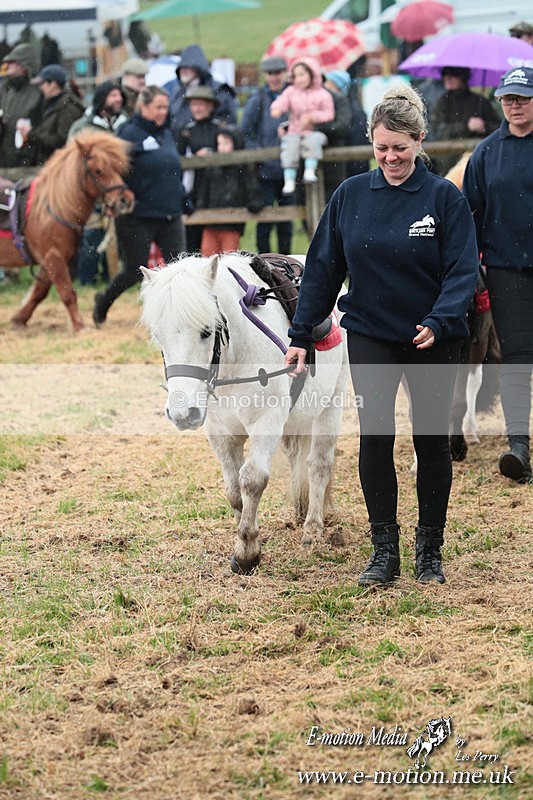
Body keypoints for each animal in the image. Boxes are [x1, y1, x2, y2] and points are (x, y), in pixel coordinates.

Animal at [0, 129, 134, 331]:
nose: (125, 200)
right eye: (98, 170)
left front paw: (19, 319)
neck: (57, 205)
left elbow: (39, 292)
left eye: (117, 168)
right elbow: (67, 293)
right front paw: (79, 326)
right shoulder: (54, 258)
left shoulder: (52, 260)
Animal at [140, 252, 349, 575]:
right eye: (158, 336)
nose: (182, 413)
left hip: (331, 404)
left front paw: (247, 551)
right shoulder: (220, 433)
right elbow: (233, 489)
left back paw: (312, 529)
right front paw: (247, 539)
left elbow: (252, 479)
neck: (234, 359)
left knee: (319, 465)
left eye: (206, 332)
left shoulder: (267, 422)